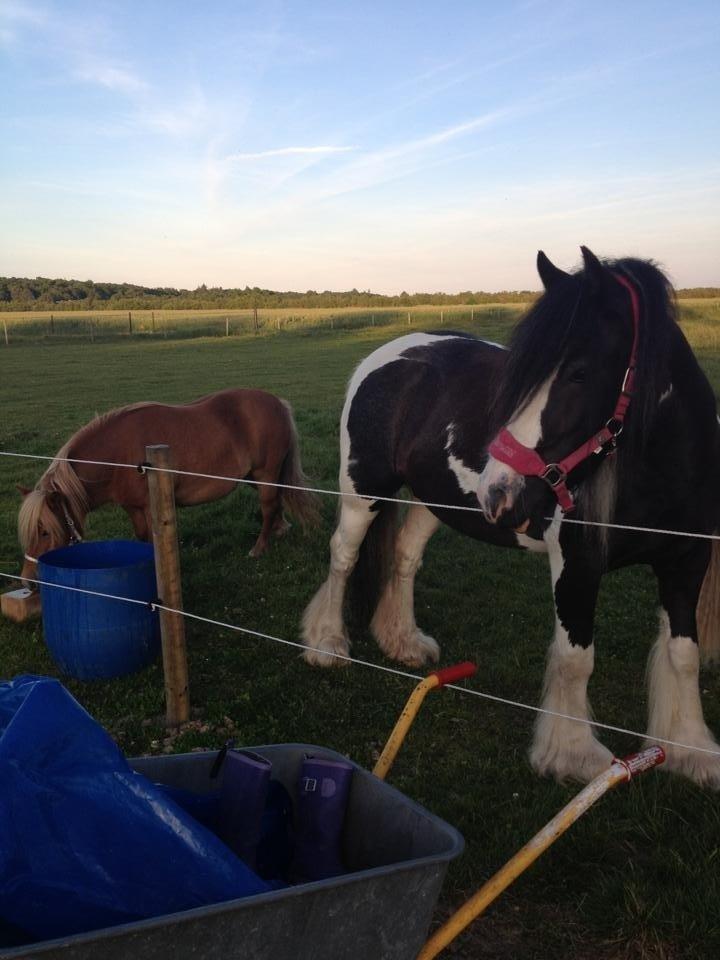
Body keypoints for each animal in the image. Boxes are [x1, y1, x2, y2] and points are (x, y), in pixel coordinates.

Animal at [18, 386, 318, 580]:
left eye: (44, 532)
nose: (28, 579)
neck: (117, 455)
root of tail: (277, 402)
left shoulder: (150, 508)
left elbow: (153, 540)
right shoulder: (133, 508)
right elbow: (142, 539)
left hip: (265, 474)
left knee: (268, 507)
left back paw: (259, 548)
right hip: (255, 478)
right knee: (278, 500)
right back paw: (280, 529)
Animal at [302, 246, 720, 788]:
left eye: (579, 372)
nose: (498, 492)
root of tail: (381, 358)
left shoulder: (686, 562)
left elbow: (683, 655)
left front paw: (692, 750)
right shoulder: (577, 565)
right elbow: (576, 659)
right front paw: (572, 755)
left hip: (436, 503)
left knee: (404, 558)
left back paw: (403, 642)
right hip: (363, 491)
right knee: (344, 557)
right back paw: (326, 644)